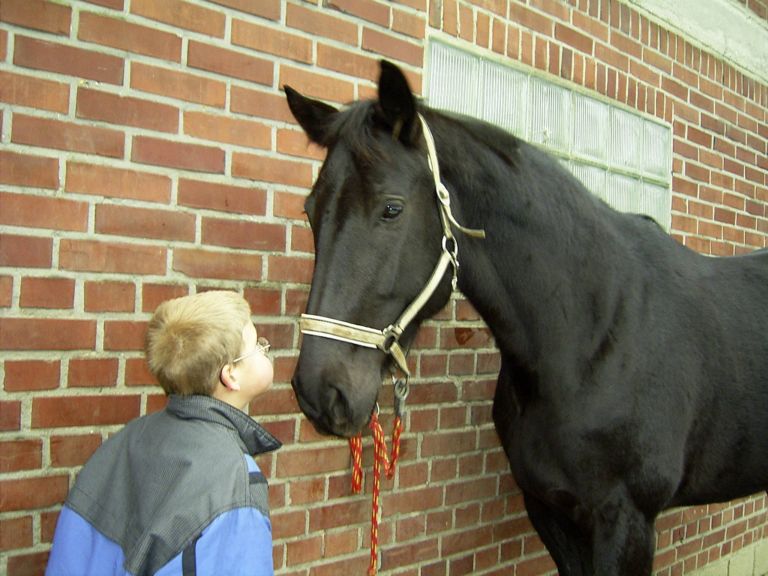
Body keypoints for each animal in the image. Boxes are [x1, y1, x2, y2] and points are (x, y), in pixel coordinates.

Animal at [284, 60, 768, 572]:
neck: (593, 338)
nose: (317, 391)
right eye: (311, 210)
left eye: (391, 209)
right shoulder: (549, 508)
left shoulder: (628, 522)